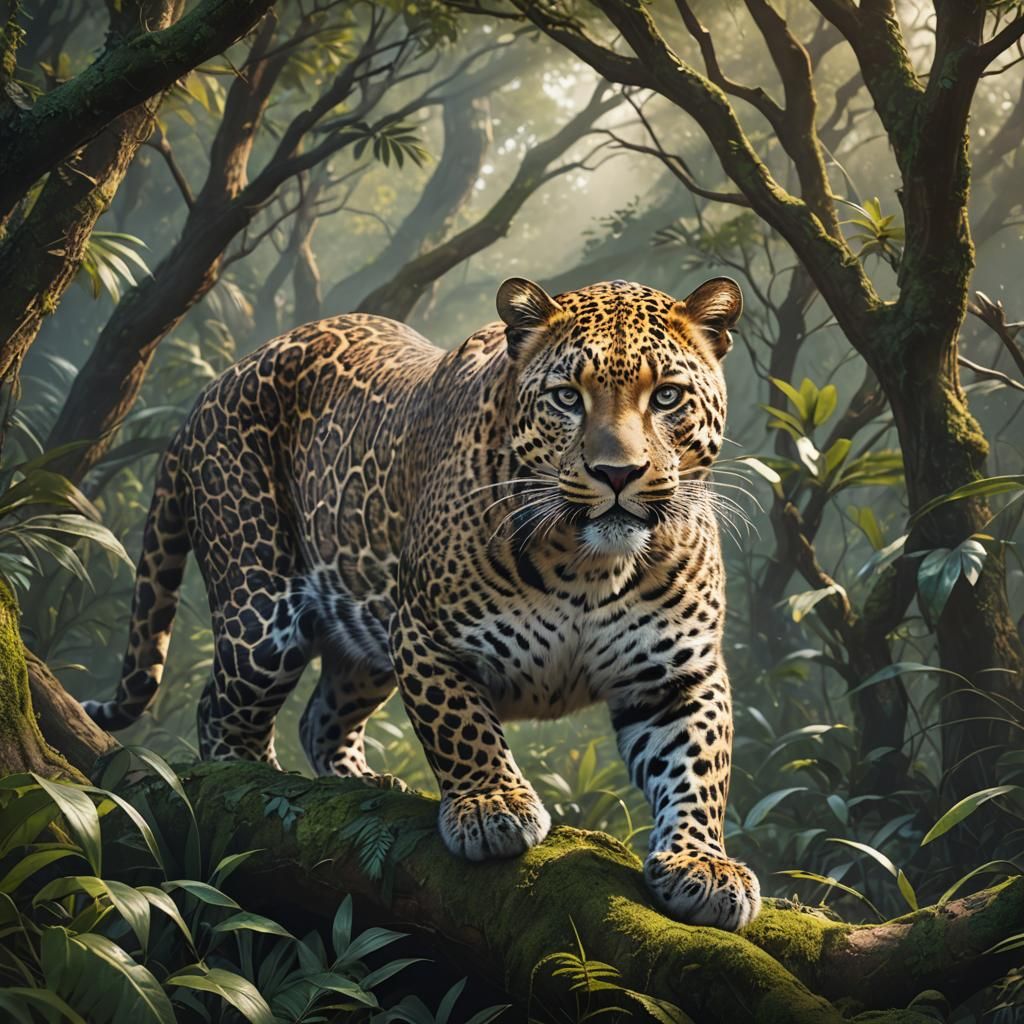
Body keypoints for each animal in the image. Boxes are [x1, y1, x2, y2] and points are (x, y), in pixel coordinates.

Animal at [84, 275, 761, 931]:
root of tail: (210, 390)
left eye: (667, 397)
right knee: (222, 715)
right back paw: (249, 789)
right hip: (262, 616)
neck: (589, 566)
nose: (617, 473)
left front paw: (704, 865)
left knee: (320, 717)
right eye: (568, 398)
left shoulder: (678, 674)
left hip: (359, 638)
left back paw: (364, 782)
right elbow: (462, 727)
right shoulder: (424, 637)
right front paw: (492, 805)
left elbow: (699, 766)